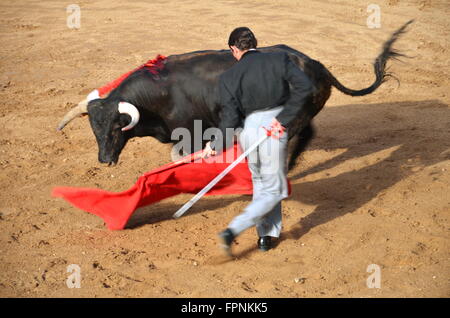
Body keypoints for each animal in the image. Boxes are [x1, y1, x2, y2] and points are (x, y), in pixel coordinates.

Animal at [58, 20, 414, 169]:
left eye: (116, 127)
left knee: (298, 134)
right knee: (309, 130)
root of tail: (316, 65)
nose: (104, 160)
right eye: (94, 129)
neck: (157, 96)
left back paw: (288, 163)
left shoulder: (192, 133)